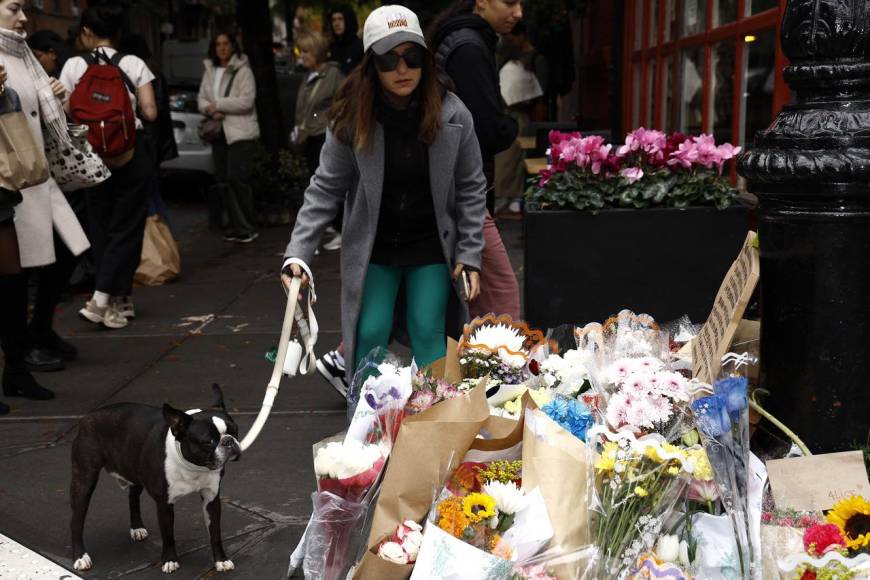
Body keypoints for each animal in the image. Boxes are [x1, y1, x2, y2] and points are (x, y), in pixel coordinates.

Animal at [70, 386, 242, 576]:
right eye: (209, 441)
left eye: (235, 431)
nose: (229, 441)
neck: (194, 467)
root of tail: (88, 416)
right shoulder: (164, 503)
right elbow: (168, 535)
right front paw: (170, 560)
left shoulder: (211, 499)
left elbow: (215, 533)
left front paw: (221, 560)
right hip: (84, 481)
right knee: (76, 520)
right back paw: (80, 557)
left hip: (134, 471)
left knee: (133, 497)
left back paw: (137, 527)